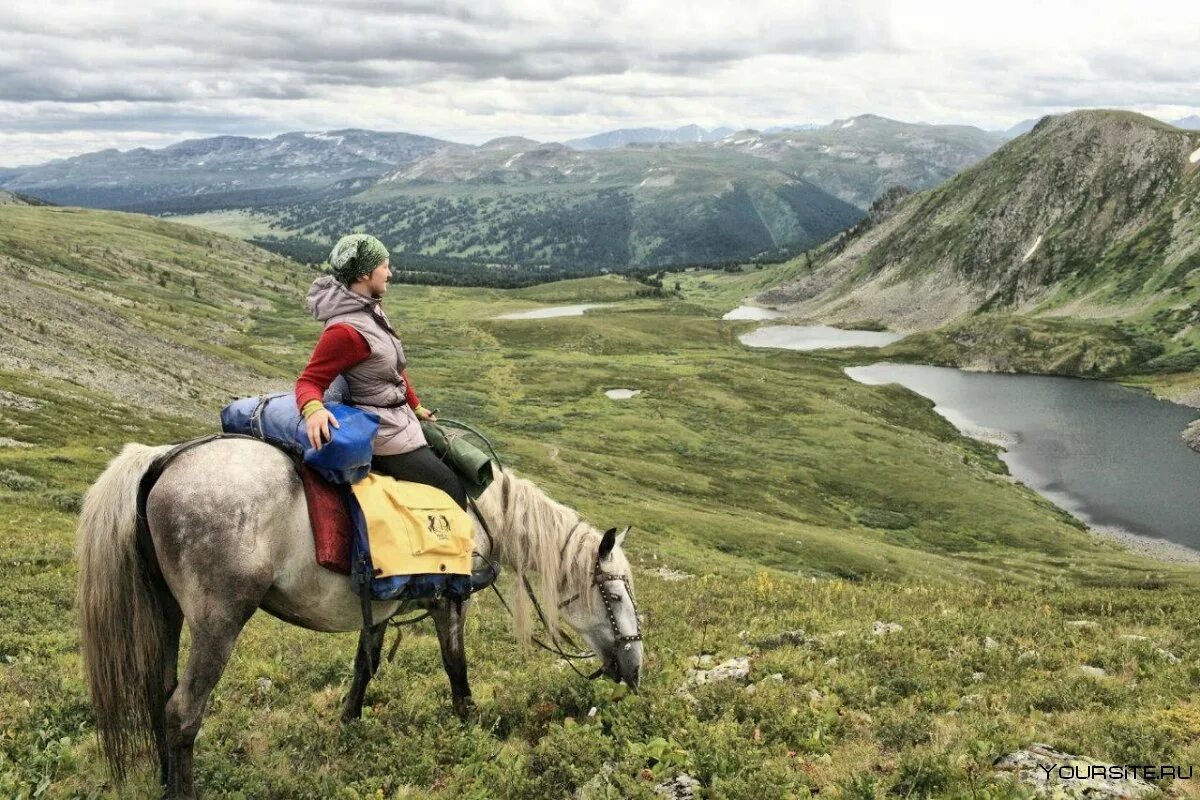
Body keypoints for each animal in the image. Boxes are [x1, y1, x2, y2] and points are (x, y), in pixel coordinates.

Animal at [75, 438, 643, 800]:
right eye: (615, 594)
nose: (636, 669)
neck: (482, 517)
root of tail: (163, 461)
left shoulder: (381, 604)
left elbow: (364, 665)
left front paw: (346, 726)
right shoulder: (450, 601)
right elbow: (456, 667)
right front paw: (472, 727)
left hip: (167, 614)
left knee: (159, 696)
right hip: (218, 621)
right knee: (182, 712)